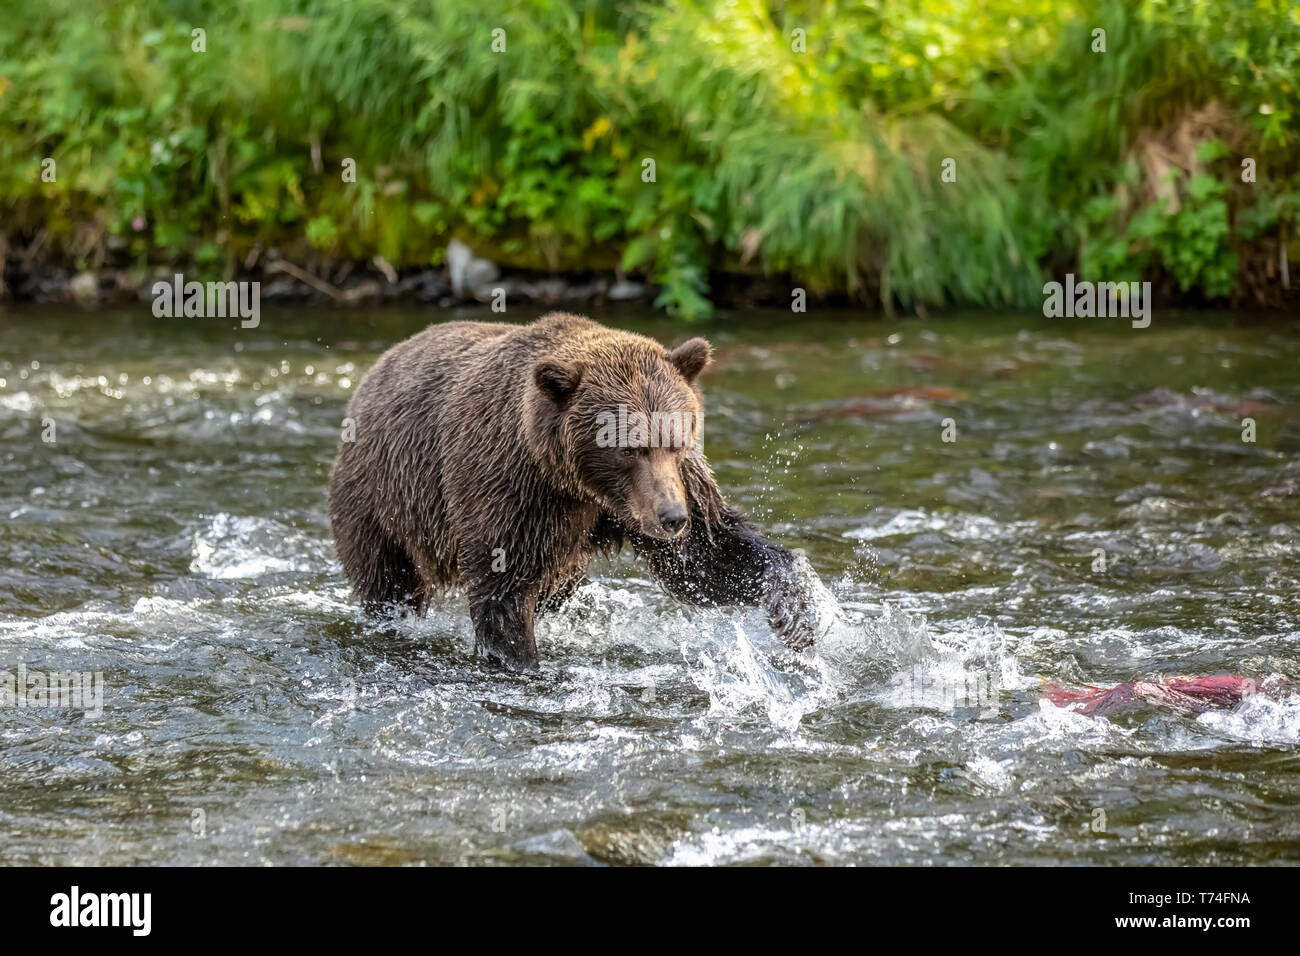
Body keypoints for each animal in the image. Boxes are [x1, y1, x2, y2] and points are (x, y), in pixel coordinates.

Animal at [327, 310, 811, 671]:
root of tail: (379, 365)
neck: (583, 485)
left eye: (675, 438)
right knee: (389, 579)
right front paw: (520, 659)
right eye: (628, 446)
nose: (672, 517)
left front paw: (797, 616)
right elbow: (503, 589)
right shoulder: (511, 488)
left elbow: (708, 558)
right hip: (381, 500)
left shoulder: (669, 485)